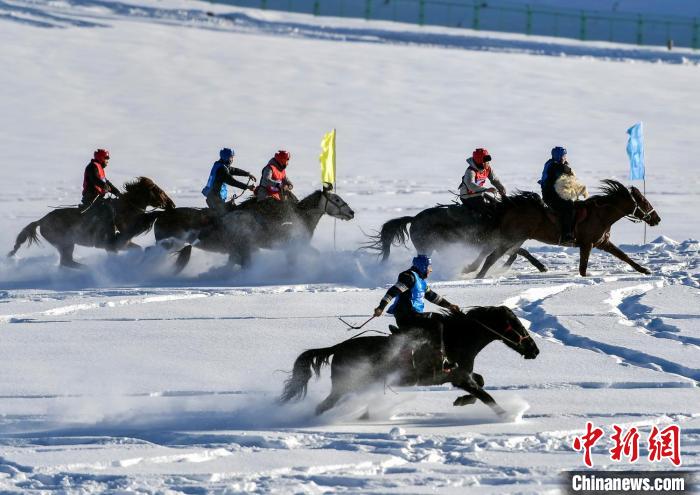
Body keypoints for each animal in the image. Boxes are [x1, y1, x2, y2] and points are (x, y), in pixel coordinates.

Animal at [7, 177, 175, 270]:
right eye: (158, 190)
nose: (171, 204)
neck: (124, 211)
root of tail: (41, 221)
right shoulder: (114, 244)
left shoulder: (123, 244)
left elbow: (138, 249)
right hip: (66, 244)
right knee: (67, 262)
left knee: (66, 263)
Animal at [280, 306, 540, 418]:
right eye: (515, 325)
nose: (535, 350)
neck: (458, 339)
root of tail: (337, 348)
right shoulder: (459, 377)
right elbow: (486, 396)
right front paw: (508, 415)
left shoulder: (461, 376)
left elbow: (481, 384)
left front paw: (460, 401)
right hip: (345, 386)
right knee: (322, 406)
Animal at [364, 199, 548, 274]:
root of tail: (414, 218)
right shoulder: (500, 243)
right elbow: (518, 252)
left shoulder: (505, 244)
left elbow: (522, 252)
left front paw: (542, 267)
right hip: (427, 248)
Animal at [464, 179, 660, 280]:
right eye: (644, 201)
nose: (657, 219)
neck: (600, 214)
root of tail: (508, 207)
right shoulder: (587, 245)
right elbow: (583, 268)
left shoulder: (603, 243)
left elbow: (625, 257)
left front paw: (644, 270)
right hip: (511, 238)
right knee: (491, 256)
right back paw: (478, 276)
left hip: (513, 238)